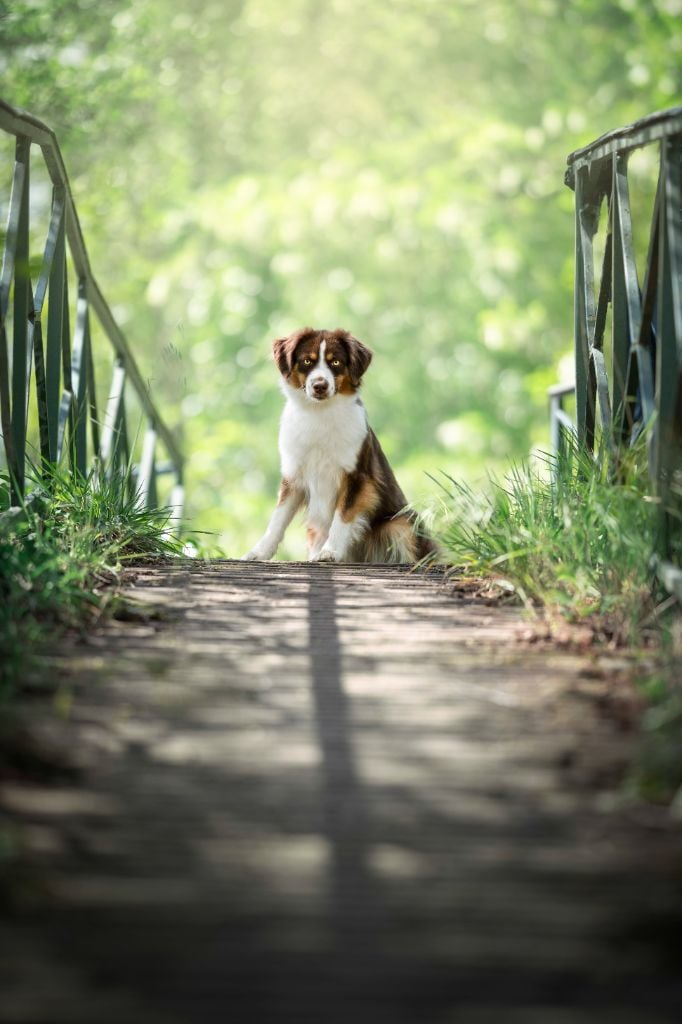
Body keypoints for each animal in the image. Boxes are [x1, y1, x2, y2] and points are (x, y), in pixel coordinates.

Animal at [241, 325, 430, 565]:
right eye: (307, 361)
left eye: (336, 362)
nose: (320, 386)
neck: (319, 414)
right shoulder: (293, 476)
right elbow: (277, 520)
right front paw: (258, 553)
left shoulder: (356, 476)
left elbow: (342, 516)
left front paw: (330, 552)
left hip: (400, 522)